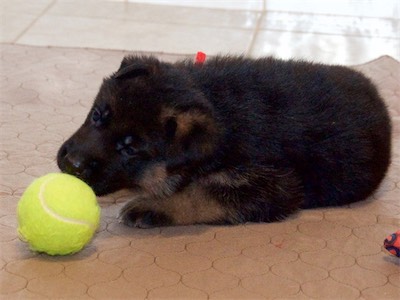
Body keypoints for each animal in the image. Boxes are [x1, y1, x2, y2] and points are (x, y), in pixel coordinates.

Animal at [57, 55, 392, 227]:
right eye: (97, 116)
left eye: (130, 149)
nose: (71, 165)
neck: (216, 104)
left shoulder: (274, 184)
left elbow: (204, 194)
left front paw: (155, 207)